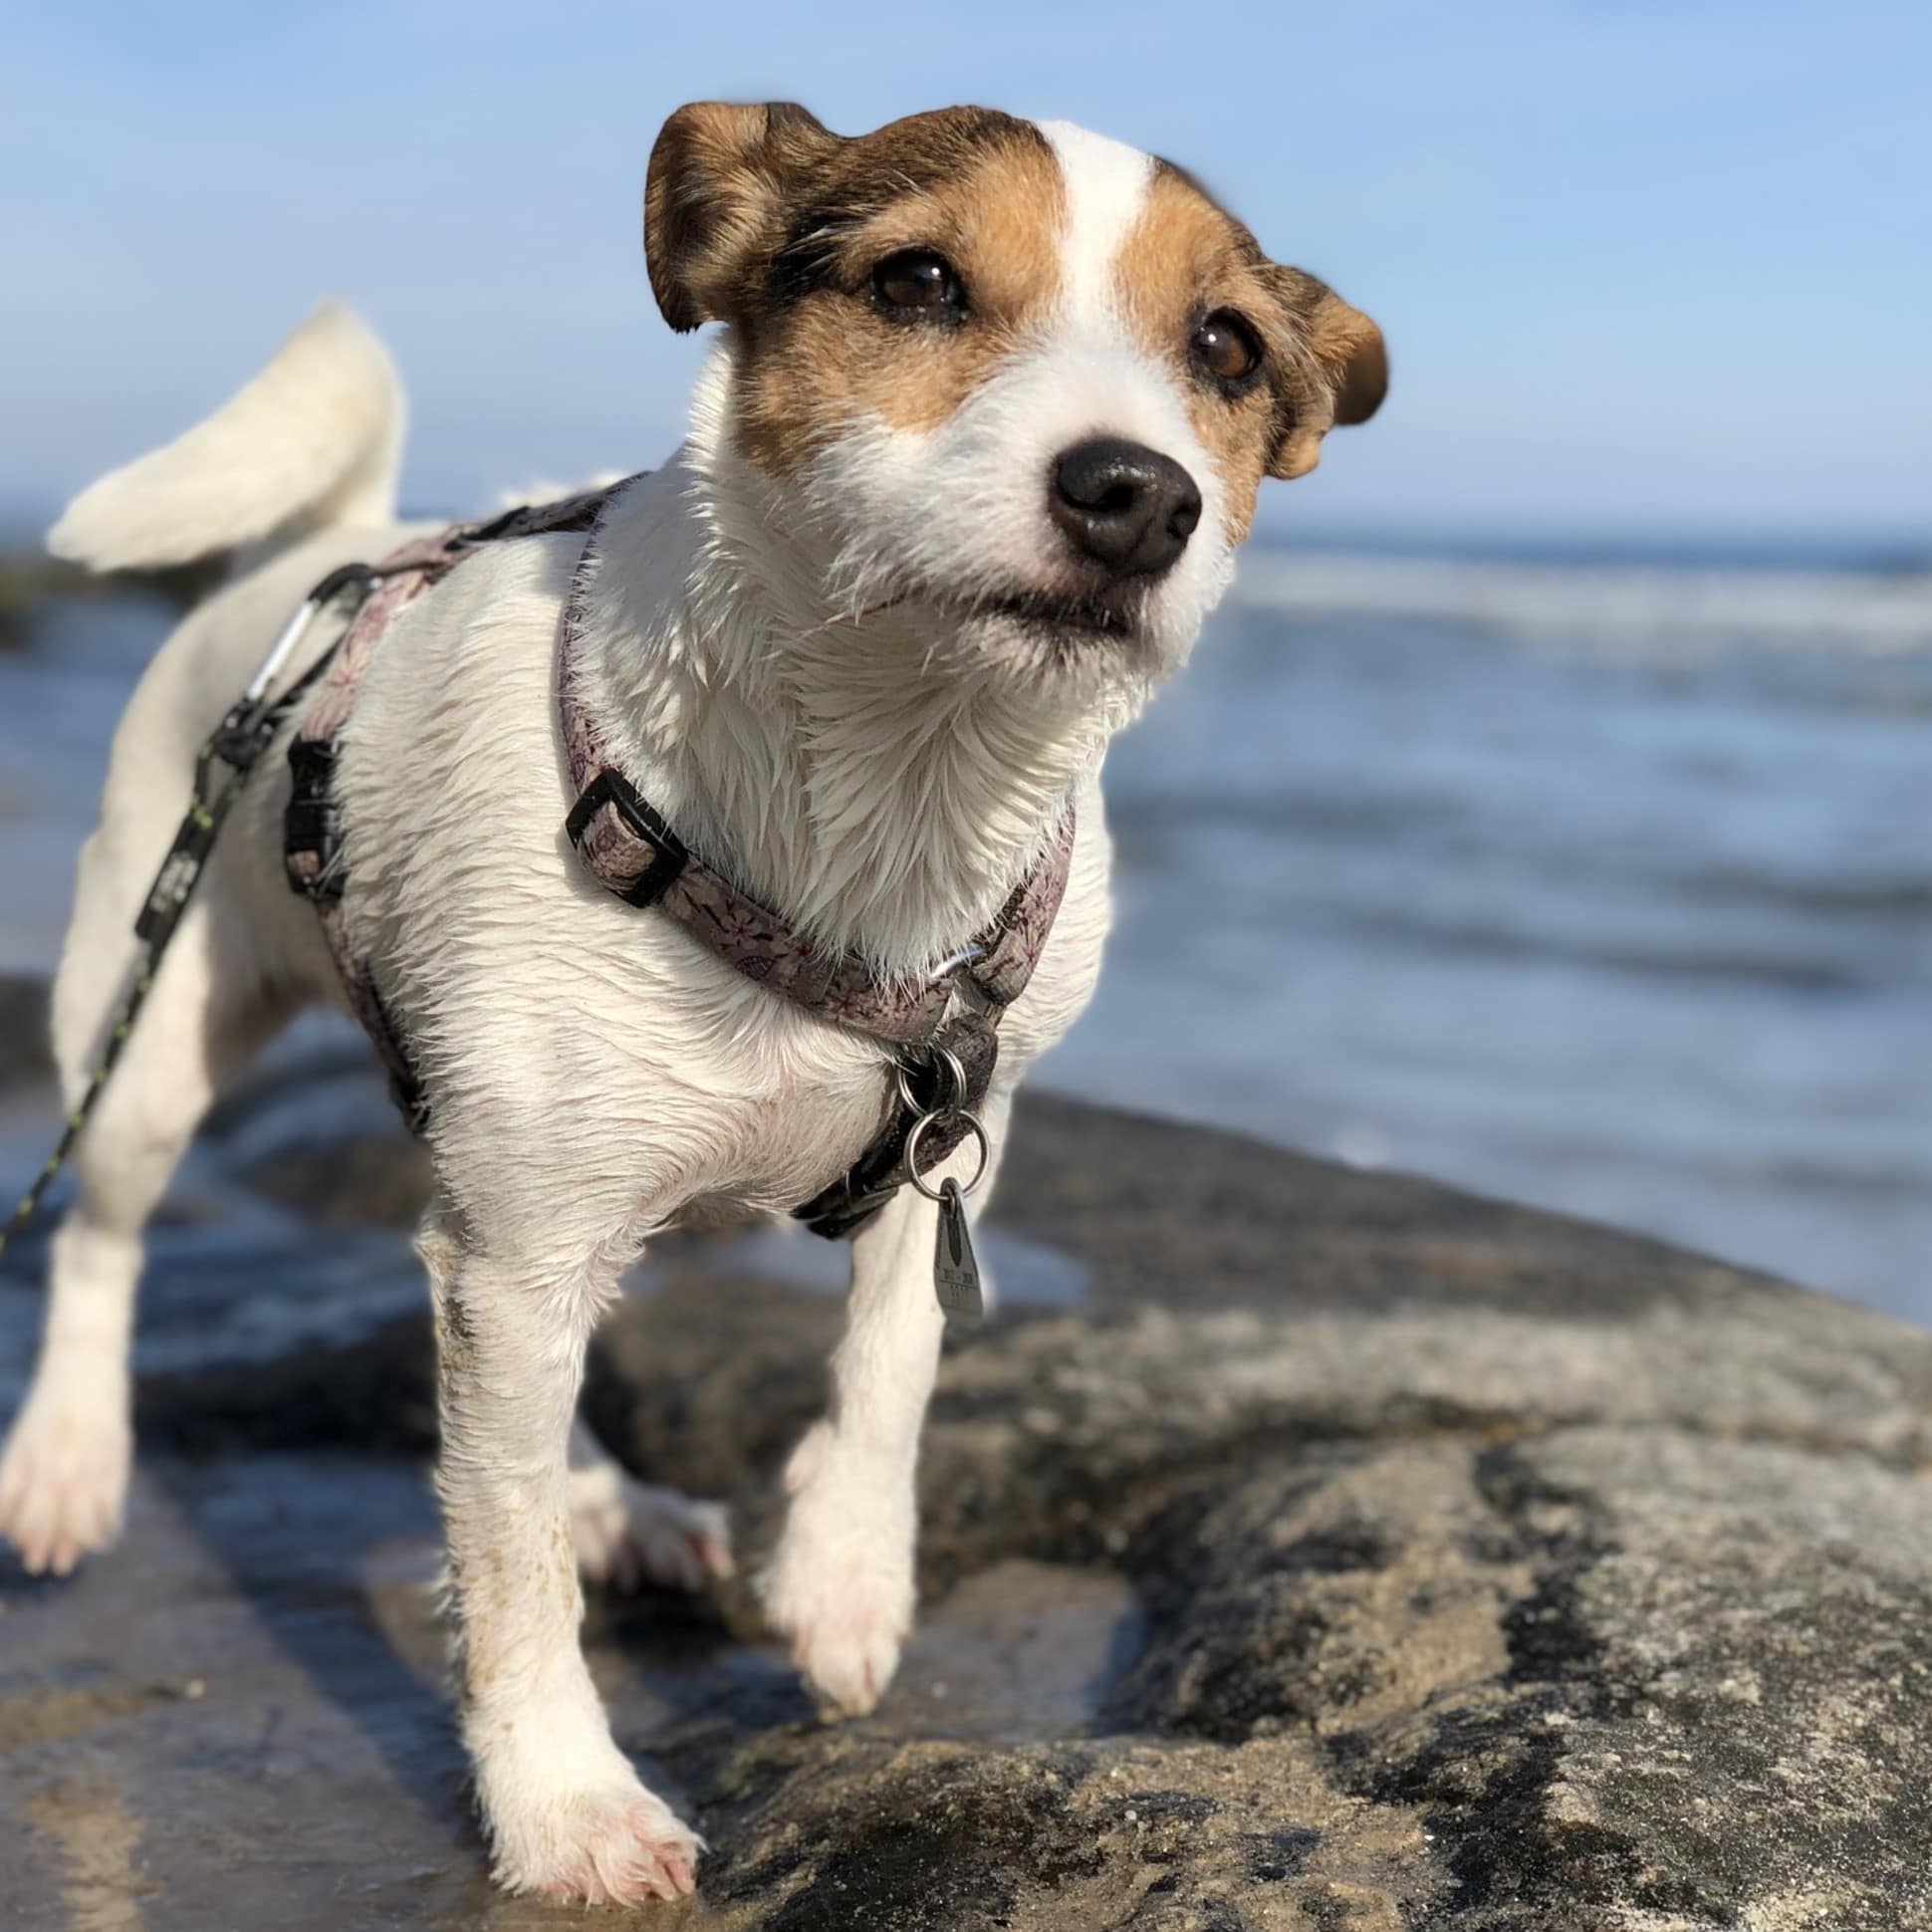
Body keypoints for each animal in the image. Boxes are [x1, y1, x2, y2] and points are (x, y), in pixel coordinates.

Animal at [3, 102, 1390, 1900]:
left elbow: (892, 1353)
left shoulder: (953, 1128)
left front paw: (847, 1577)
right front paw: (564, 1802)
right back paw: (68, 1459)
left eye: (1224, 347)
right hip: (157, 1032)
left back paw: (619, 1502)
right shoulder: (522, 1248)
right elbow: (505, 1564)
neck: (885, 803)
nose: (1135, 493)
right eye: (918, 281)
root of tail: (333, 554)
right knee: (108, 1245)